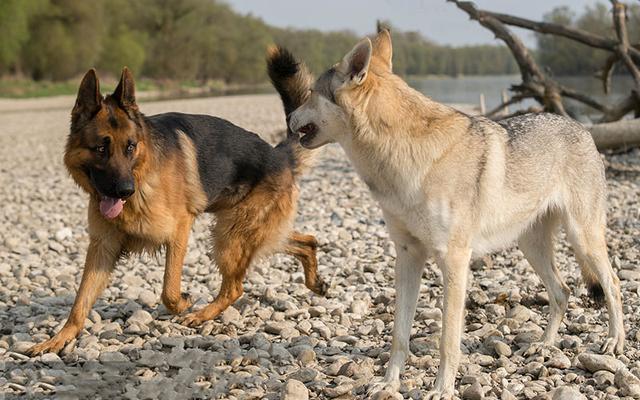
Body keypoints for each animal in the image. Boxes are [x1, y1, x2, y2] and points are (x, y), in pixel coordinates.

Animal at [27, 50, 322, 356]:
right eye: (100, 148)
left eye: (130, 146)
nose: (125, 190)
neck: (142, 175)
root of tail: (280, 156)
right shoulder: (102, 248)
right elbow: (80, 302)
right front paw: (58, 339)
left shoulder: (179, 229)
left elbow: (169, 289)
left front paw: (183, 302)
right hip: (247, 232)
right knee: (306, 241)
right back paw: (315, 282)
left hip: (230, 237)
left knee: (235, 288)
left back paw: (202, 314)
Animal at [286, 30, 624, 396]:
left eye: (310, 94)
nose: (287, 119)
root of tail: (582, 128)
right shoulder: (407, 256)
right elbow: (399, 336)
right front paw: (389, 384)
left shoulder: (454, 261)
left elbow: (448, 340)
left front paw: (442, 389)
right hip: (531, 247)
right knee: (562, 293)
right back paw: (544, 347)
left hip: (582, 239)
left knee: (613, 284)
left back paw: (614, 342)